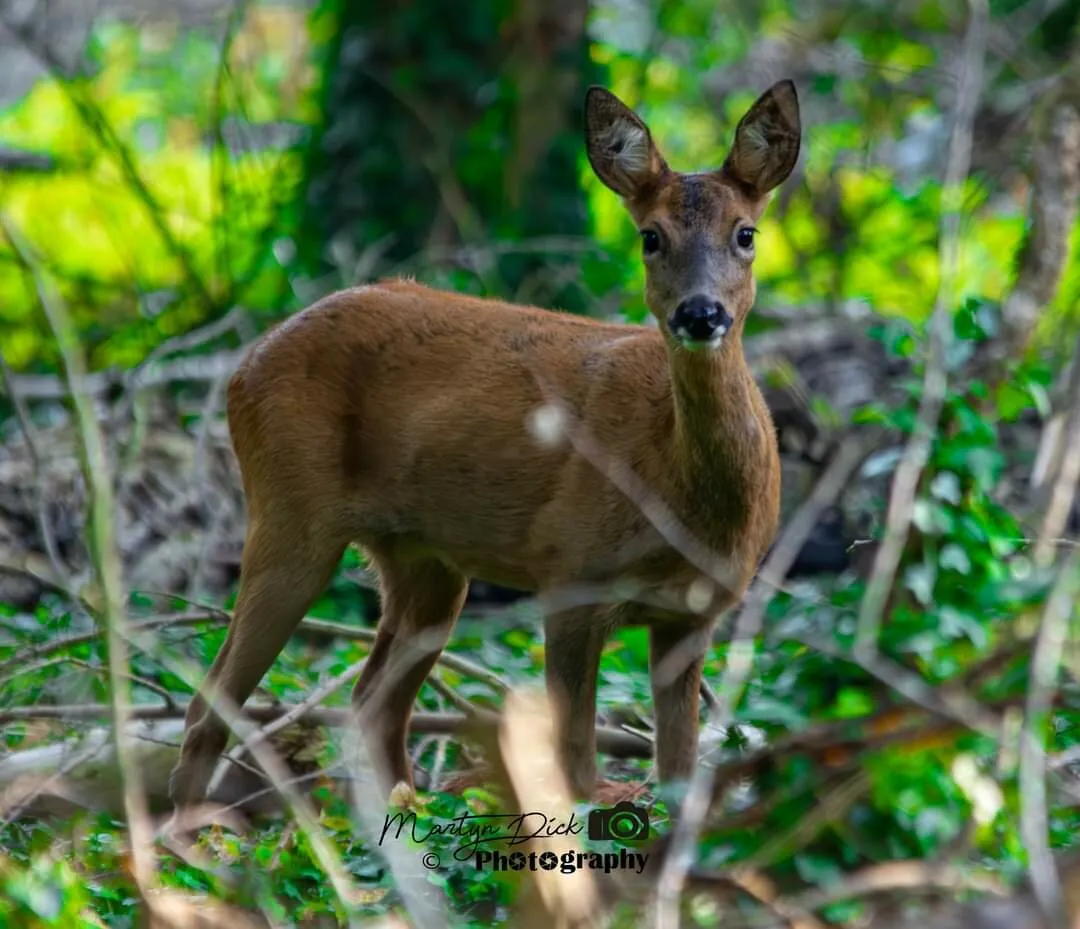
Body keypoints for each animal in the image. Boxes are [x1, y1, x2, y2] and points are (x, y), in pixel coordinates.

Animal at [169, 79, 800, 814]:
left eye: (746, 233)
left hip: (424, 563)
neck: (679, 493)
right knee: (211, 701)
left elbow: (678, 769)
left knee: (373, 704)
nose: (700, 314)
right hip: (290, 509)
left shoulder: (694, 612)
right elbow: (575, 761)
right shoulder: (569, 570)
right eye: (651, 236)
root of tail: (241, 368)